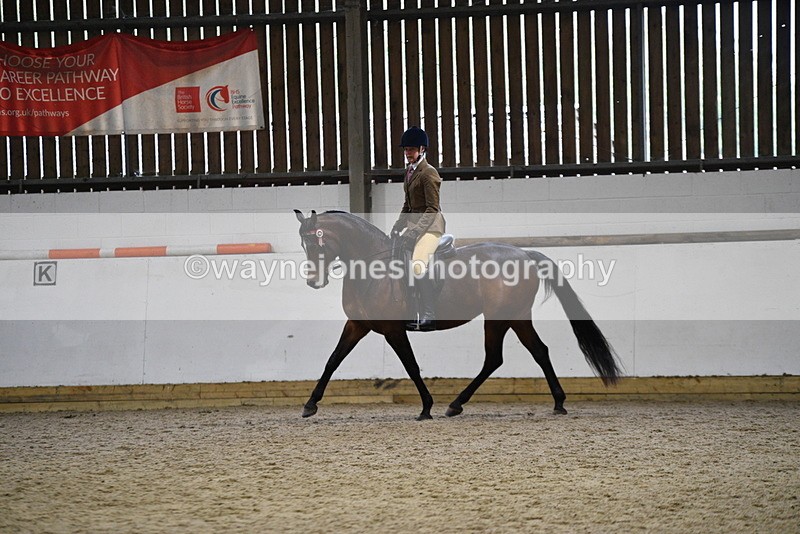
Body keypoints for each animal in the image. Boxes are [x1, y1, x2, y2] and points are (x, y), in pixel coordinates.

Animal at [294, 210, 621, 420]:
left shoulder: (393, 329)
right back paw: (558, 402)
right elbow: (333, 360)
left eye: (316, 242)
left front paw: (426, 408)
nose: (313, 281)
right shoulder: (357, 325)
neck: (371, 269)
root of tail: (525, 254)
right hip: (517, 316)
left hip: (499, 318)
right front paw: (310, 405)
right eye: (303, 244)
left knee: (494, 359)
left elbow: (411, 365)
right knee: (538, 351)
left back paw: (455, 404)